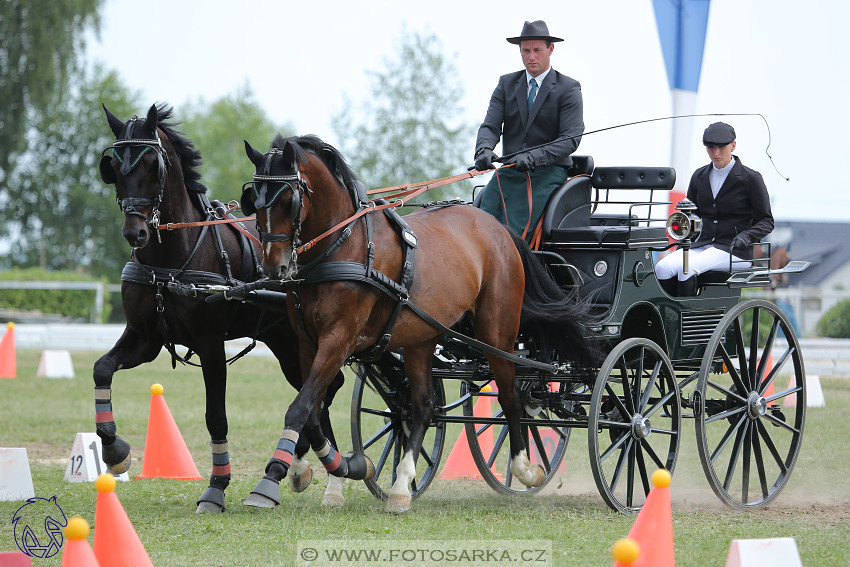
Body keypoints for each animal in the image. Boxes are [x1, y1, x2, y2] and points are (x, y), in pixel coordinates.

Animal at [98, 104, 348, 512]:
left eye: (152, 164)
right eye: (114, 167)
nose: (135, 232)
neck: (173, 258)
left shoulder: (210, 343)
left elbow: (216, 416)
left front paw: (216, 487)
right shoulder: (144, 338)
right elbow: (102, 369)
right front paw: (115, 450)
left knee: (321, 390)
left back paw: (301, 472)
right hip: (286, 341)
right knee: (319, 391)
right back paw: (307, 470)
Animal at [242, 135, 592, 512]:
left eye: (289, 200)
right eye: (253, 200)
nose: (273, 267)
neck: (344, 246)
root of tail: (498, 228)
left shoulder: (338, 340)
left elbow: (300, 408)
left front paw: (282, 475)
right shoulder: (308, 343)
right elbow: (311, 411)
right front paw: (321, 469)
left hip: (497, 333)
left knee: (511, 395)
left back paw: (525, 469)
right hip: (420, 339)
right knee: (424, 406)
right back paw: (401, 485)